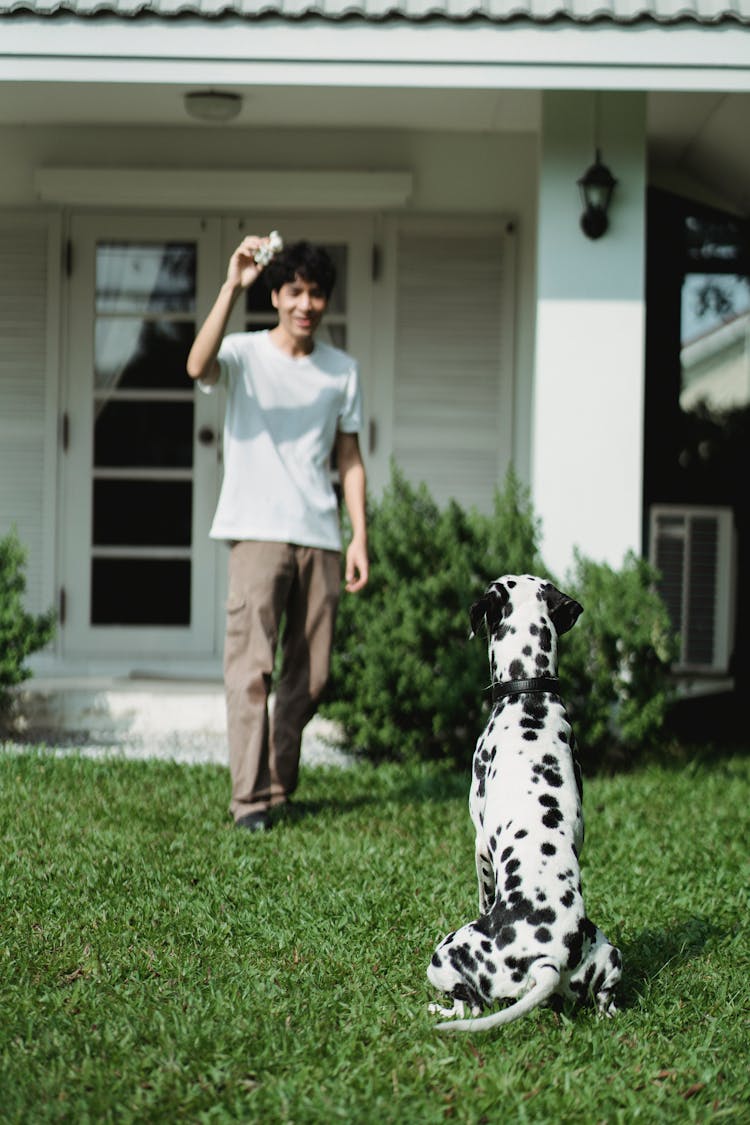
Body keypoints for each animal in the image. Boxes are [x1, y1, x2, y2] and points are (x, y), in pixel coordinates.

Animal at [427, 576, 620, 1030]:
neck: (529, 693)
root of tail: (548, 961)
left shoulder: (480, 845)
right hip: (611, 956)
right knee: (607, 1000)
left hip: (444, 954)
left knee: (469, 1004)